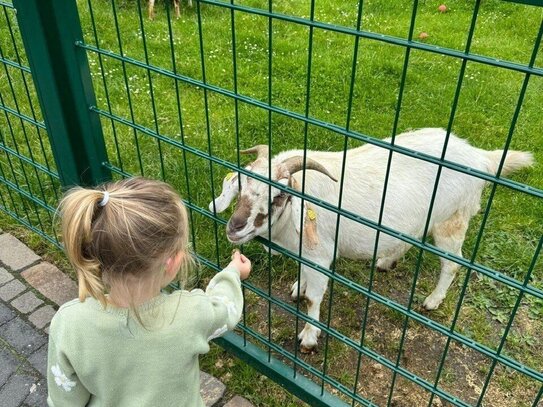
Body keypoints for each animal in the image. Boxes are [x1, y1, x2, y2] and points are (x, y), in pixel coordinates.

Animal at [210, 128, 532, 354]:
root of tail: (482, 157)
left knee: (452, 264)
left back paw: (432, 300)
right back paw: (387, 261)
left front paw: (309, 338)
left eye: (278, 196)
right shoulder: (307, 253)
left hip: (451, 219)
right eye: (241, 185)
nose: (235, 228)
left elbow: (315, 298)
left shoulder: (321, 254)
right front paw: (298, 288)